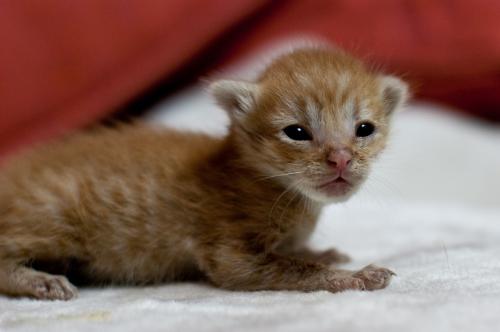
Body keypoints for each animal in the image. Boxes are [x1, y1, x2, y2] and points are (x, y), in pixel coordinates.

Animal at [0, 46, 406, 300]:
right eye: (297, 132)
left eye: (364, 129)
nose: (341, 159)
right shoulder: (229, 253)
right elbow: (294, 269)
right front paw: (355, 277)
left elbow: (296, 253)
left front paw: (323, 253)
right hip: (52, 212)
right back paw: (42, 282)